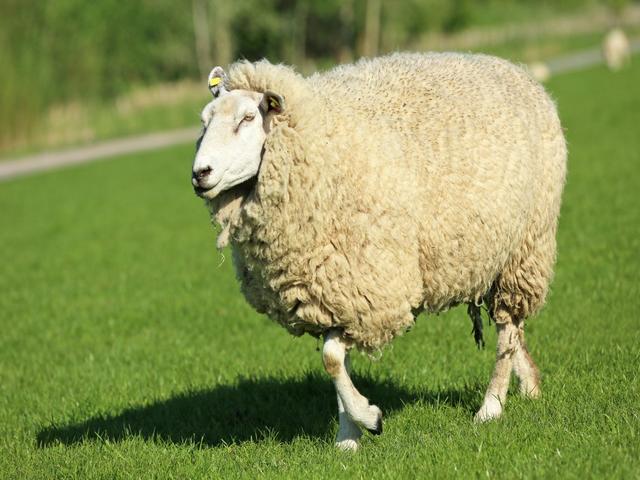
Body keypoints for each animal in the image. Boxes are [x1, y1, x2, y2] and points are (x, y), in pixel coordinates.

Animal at [191, 52, 567, 451]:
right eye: (204, 121)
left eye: (248, 118)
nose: (200, 173)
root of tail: (517, 71)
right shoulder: (335, 293)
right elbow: (335, 362)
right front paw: (348, 435)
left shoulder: (369, 289)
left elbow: (330, 359)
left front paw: (369, 418)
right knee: (512, 329)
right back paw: (529, 384)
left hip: (525, 249)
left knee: (507, 330)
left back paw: (491, 406)